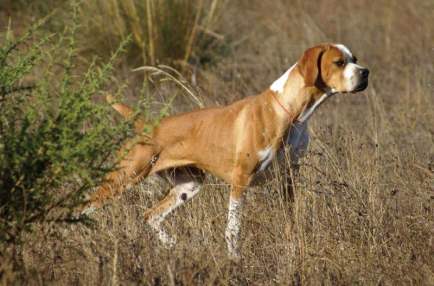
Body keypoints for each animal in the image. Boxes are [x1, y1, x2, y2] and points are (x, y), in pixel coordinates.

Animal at [84, 43, 370, 260]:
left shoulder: (288, 178)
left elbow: (290, 222)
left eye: (354, 59)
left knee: (150, 216)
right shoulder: (240, 180)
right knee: (85, 207)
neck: (291, 113)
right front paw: (235, 260)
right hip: (122, 180)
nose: (366, 72)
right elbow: (233, 228)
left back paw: (172, 246)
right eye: (338, 62)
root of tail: (147, 124)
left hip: (188, 186)